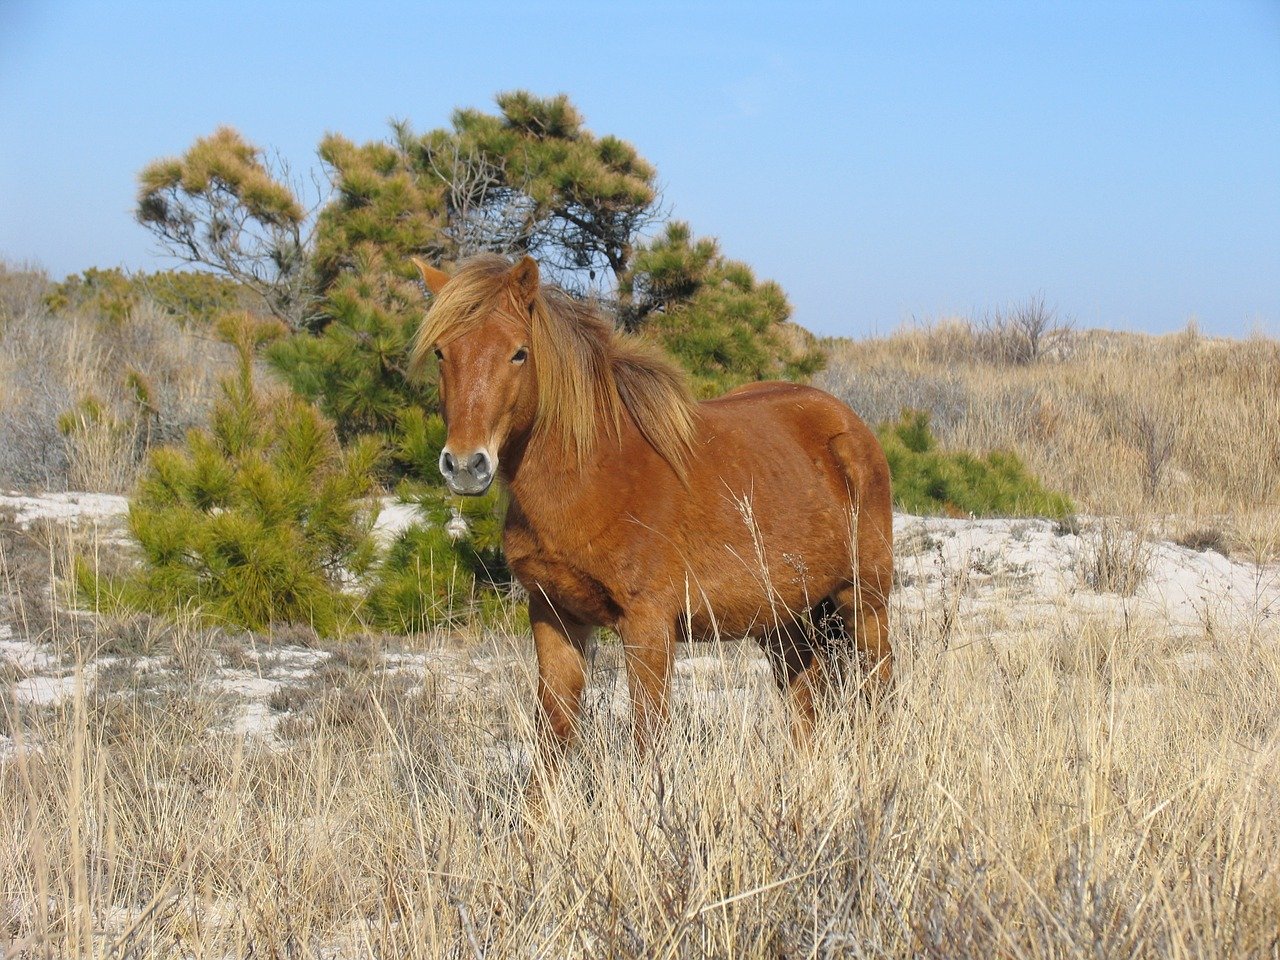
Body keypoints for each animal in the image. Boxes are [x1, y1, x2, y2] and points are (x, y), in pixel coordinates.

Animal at [409, 253, 890, 768]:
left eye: (519, 353)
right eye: (440, 353)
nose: (465, 465)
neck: (595, 473)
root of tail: (848, 424)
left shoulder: (648, 626)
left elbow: (647, 741)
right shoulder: (554, 617)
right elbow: (552, 735)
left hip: (865, 603)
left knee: (880, 690)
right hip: (786, 623)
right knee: (807, 708)